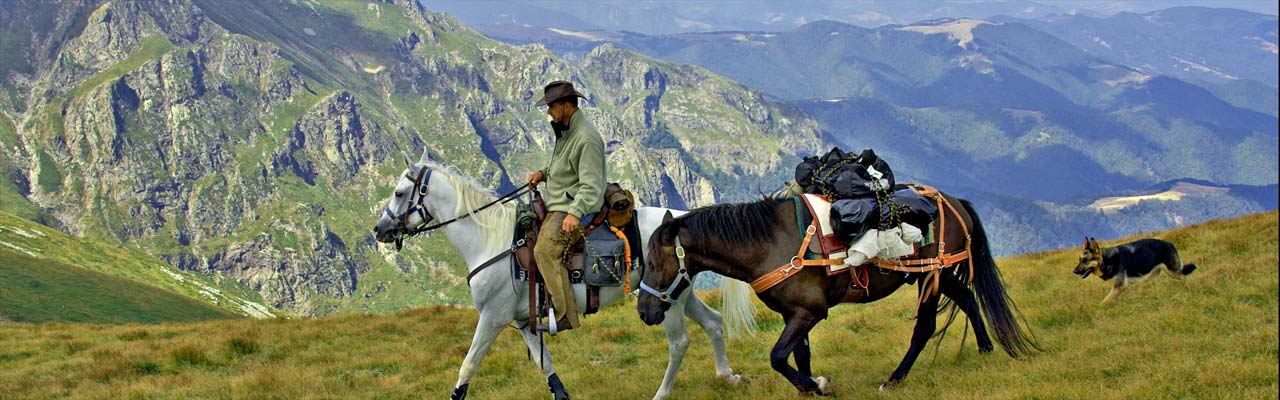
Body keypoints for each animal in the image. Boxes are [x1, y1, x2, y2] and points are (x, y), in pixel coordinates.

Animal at [371, 150, 752, 400]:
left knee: (679, 342)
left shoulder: (492, 318)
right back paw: (727, 376)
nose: (380, 230)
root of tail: (681, 220)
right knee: (713, 321)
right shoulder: (523, 321)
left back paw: (662, 393)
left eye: (399, 193)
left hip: (665, 301)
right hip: (678, 294)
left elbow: (467, 366)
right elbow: (546, 366)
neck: (491, 241)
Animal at [634, 189, 1034, 394]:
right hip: (940, 274)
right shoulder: (794, 314)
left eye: (651, 263)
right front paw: (812, 385)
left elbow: (778, 357)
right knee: (967, 298)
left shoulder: (809, 313)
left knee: (925, 327)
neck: (768, 243)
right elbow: (799, 356)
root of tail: (954, 202)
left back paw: (895, 379)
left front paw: (817, 386)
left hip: (931, 276)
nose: (644, 312)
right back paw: (985, 348)